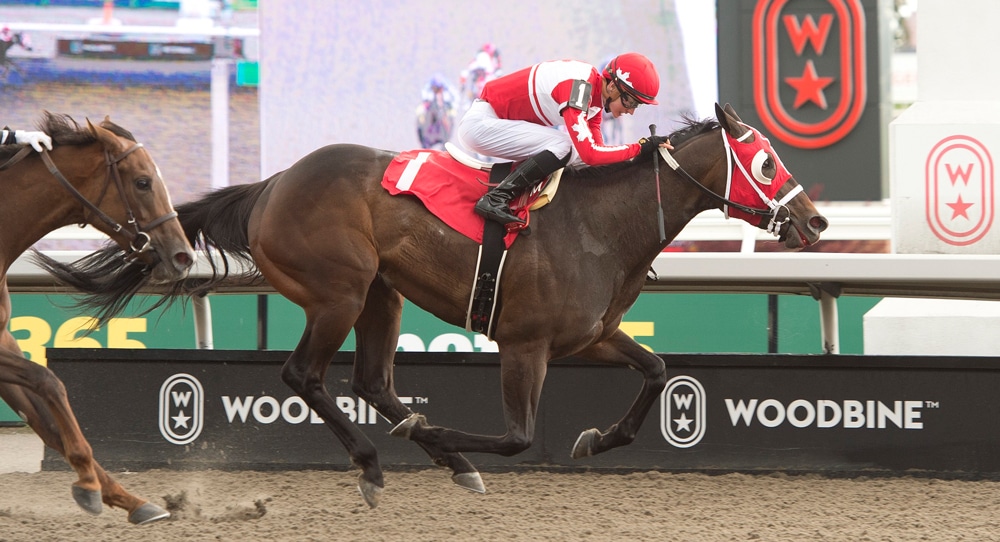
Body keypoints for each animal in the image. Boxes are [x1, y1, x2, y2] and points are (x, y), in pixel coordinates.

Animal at [0, 112, 196, 524]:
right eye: (143, 181)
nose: (184, 256)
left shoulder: (3, 342)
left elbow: (46, 421)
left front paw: (131, 500)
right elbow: (50, 381)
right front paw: (89, 484)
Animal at [35, 103, 828, 509]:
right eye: (765, 162)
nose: (816, 222)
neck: (600, 224)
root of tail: (272, 185)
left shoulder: (590, 335)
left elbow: (659, 371)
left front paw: (594, 438)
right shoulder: (525, 344)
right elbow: (517, 436)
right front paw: (451, 435)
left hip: (381, 293)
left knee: (371, 381)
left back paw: (433, 454)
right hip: (340, 289)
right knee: (304, 376)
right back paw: (378, 461)